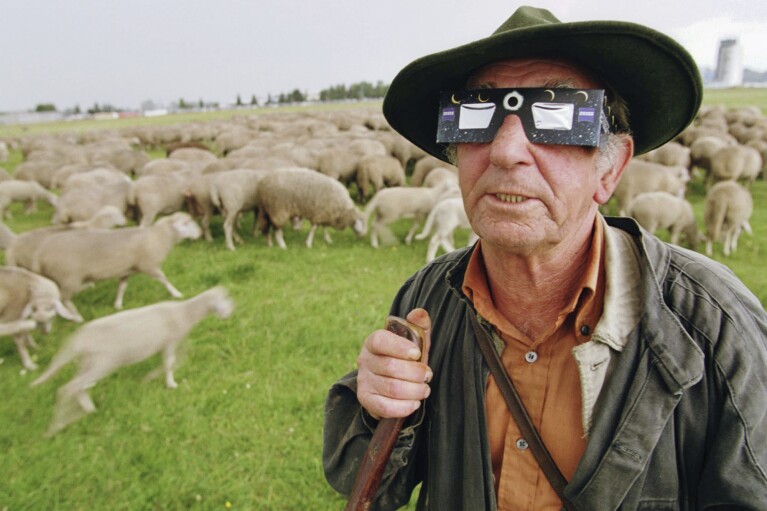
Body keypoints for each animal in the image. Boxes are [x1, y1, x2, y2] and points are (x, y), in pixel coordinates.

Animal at [30, 286, 234, 438]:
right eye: (224, 300)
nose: (229, 313)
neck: (184, 312)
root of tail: (78, 339)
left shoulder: (174, 341)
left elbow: (178, 358)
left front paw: (152, 378)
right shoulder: (171, 340)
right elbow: (169, 363)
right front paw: (169, 383)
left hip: (88, 362)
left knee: (78, 387)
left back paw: (89, 409)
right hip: (102, 362)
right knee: (67, 389)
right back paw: (56, 426)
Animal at [31, 211, 202, 316]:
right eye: (187, 223)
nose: (200, 233)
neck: (158, 237)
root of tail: (40, 257)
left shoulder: (127, 271)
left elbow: (122, 288)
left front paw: (118, 305)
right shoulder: (149, 265)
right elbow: (164, 280)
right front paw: (176, 293)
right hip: (68, 277)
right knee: (64, 299)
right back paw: (77, 316)